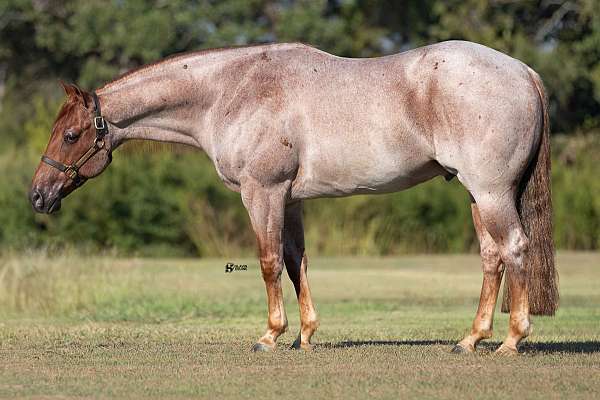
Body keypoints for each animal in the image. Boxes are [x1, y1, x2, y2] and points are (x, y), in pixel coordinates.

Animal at [30, 39, 556, 354]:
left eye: (72, 135)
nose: (38, 195)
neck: (231, 92)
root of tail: (524, 72)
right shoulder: (291, 199)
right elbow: (294, 260)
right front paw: (304, 334)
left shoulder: (261, 193)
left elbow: (267, 261)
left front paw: (270, 335)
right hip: (475, 194)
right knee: (491, 258)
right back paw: (470, 339)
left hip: (490, 191)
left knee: (514, 249)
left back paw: (512, 340)